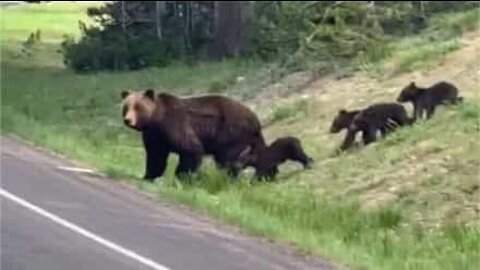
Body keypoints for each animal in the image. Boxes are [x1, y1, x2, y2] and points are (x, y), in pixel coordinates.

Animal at [120, 89, 266, 181]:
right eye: (126, 107)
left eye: (138, 107)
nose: (128, 120)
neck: (156, 119)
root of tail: (256, 120)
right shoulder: (155, 136)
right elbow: (156, 156)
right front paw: (148, 176)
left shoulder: (175, 124)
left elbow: (191, 149)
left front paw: (181, 177)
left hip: (231, 133)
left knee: (227, 160)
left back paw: (227, 178)